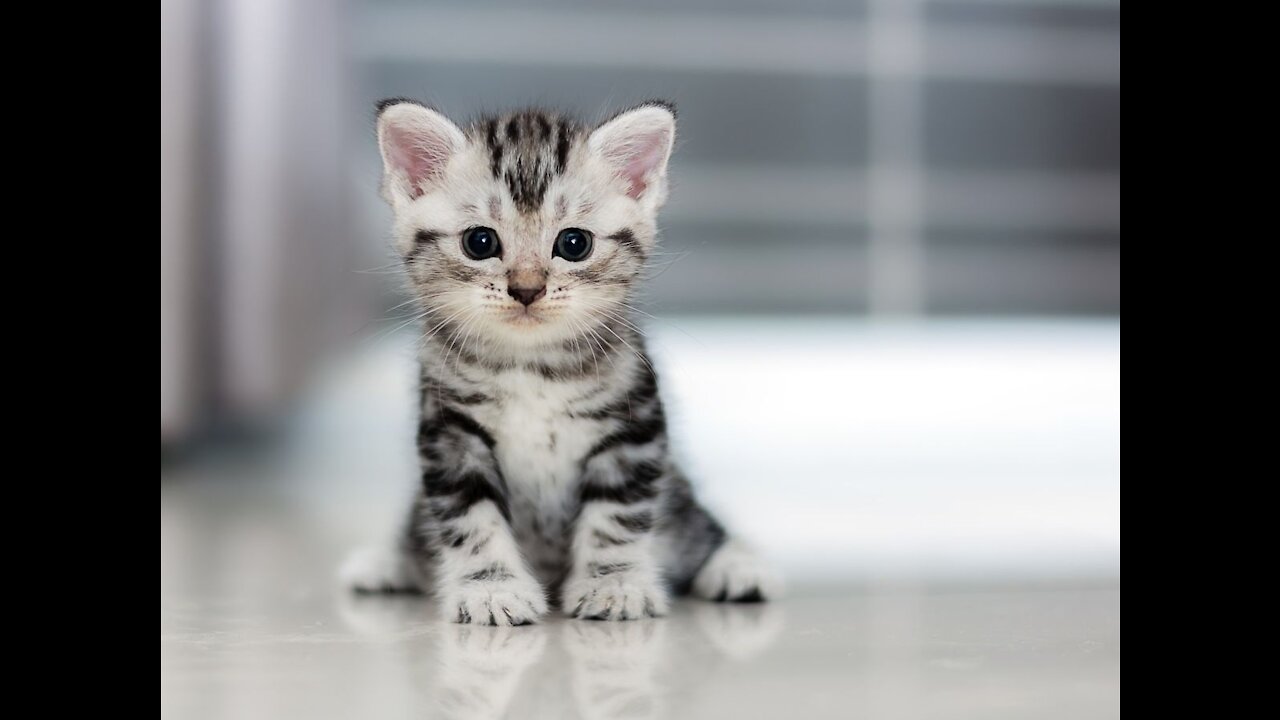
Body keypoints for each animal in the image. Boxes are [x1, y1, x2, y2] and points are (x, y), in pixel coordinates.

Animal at [343, 98, 778, 620]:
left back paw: (737, 567)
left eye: (574, 243)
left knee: (696, 527)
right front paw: (492, 589)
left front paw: (614, 585)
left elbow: (616, 518)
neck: (531, 367)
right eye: (480, 242)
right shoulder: (449, 431)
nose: (527, 289)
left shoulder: (633, 427)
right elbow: (471, 520)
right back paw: (385, 563)